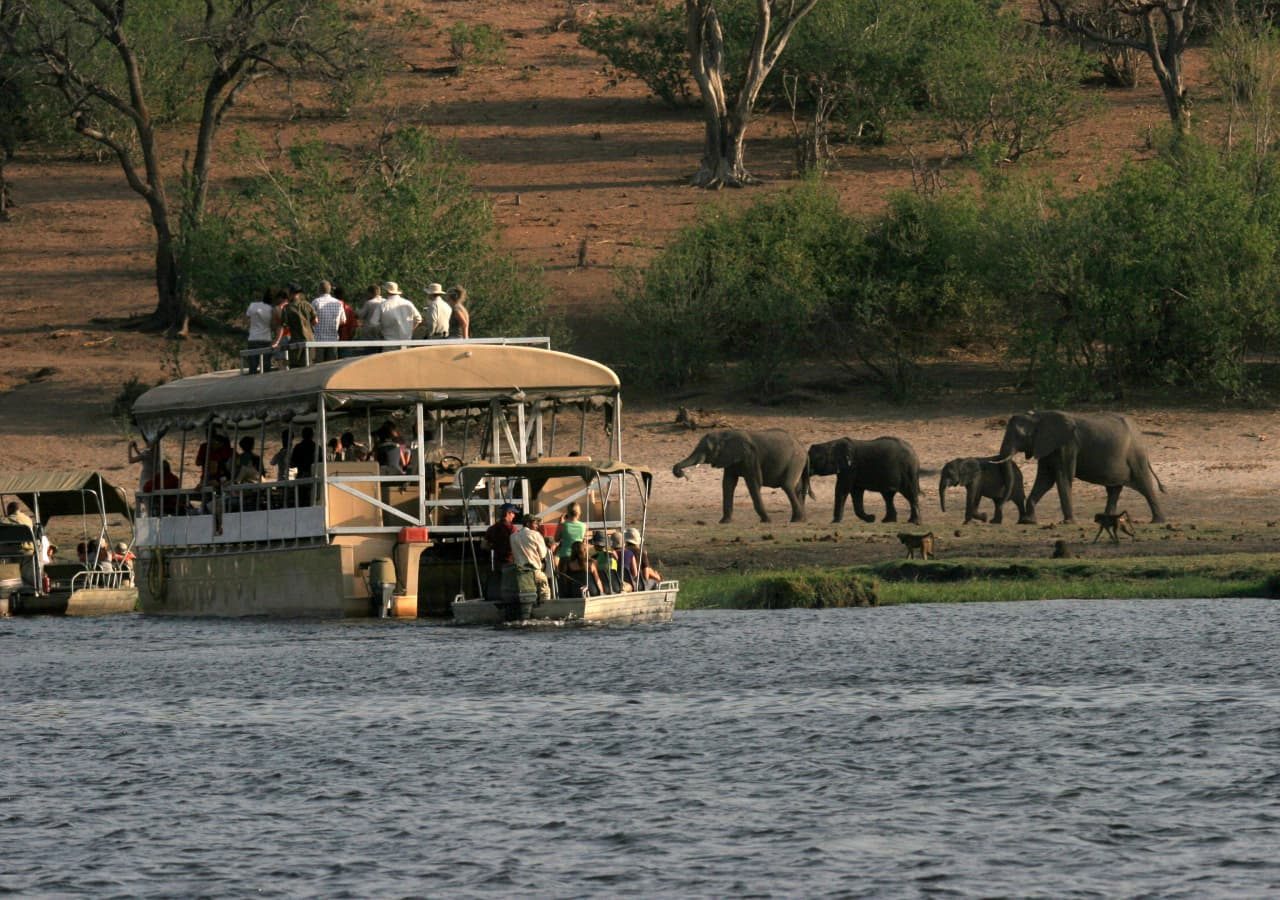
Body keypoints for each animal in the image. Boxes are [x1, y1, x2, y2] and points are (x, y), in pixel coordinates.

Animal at [670, 427, 808, 522]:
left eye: (708, 449)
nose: (681, 473)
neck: (725, 434)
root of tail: (803, 447)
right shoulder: (730, 459)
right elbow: (728, 484)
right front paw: (724, 522)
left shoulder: (751, 457)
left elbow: (754, 483)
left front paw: (767, 521)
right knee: (797, 488)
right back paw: (800, 520)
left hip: (795, 461)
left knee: (787, 486)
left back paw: (796, 520)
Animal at [993, 412, 1167, 524]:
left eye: (1020, 435)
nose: (996, 519)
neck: (1038, 417)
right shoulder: (1046, 447)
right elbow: (1045, 479)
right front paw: (1029, 522)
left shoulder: (1067, 446)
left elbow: (1062, 477)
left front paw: (1068, 522)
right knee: (1113, 490)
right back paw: (1107, 520)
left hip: (1135, 456)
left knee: (1144, 485)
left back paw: (1158, 521)